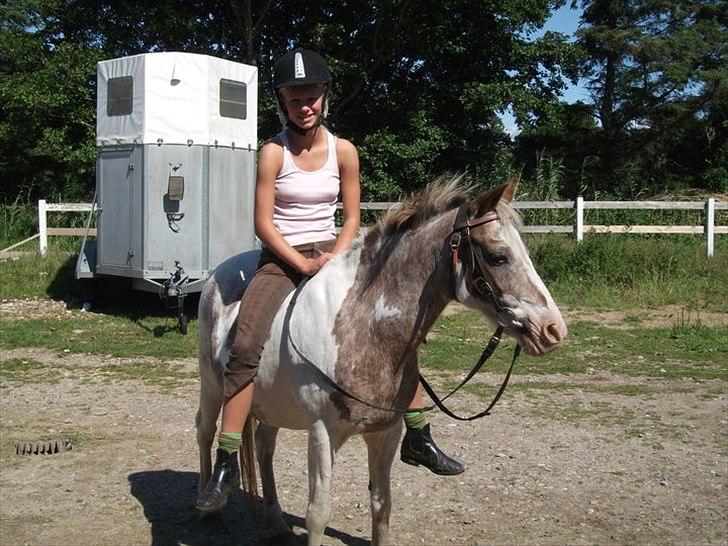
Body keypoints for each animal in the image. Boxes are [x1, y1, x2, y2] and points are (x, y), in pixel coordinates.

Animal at [195, 178, 567, 545]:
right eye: (498, 257)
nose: (553, 330)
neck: (358, 327)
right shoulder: (321, 433)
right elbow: (318, 515)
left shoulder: (386, 433)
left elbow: (381, 505)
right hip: (213, 385)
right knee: (205, 429)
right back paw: (209, 504)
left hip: (270, 403)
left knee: (264, 447)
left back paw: (275, 522)